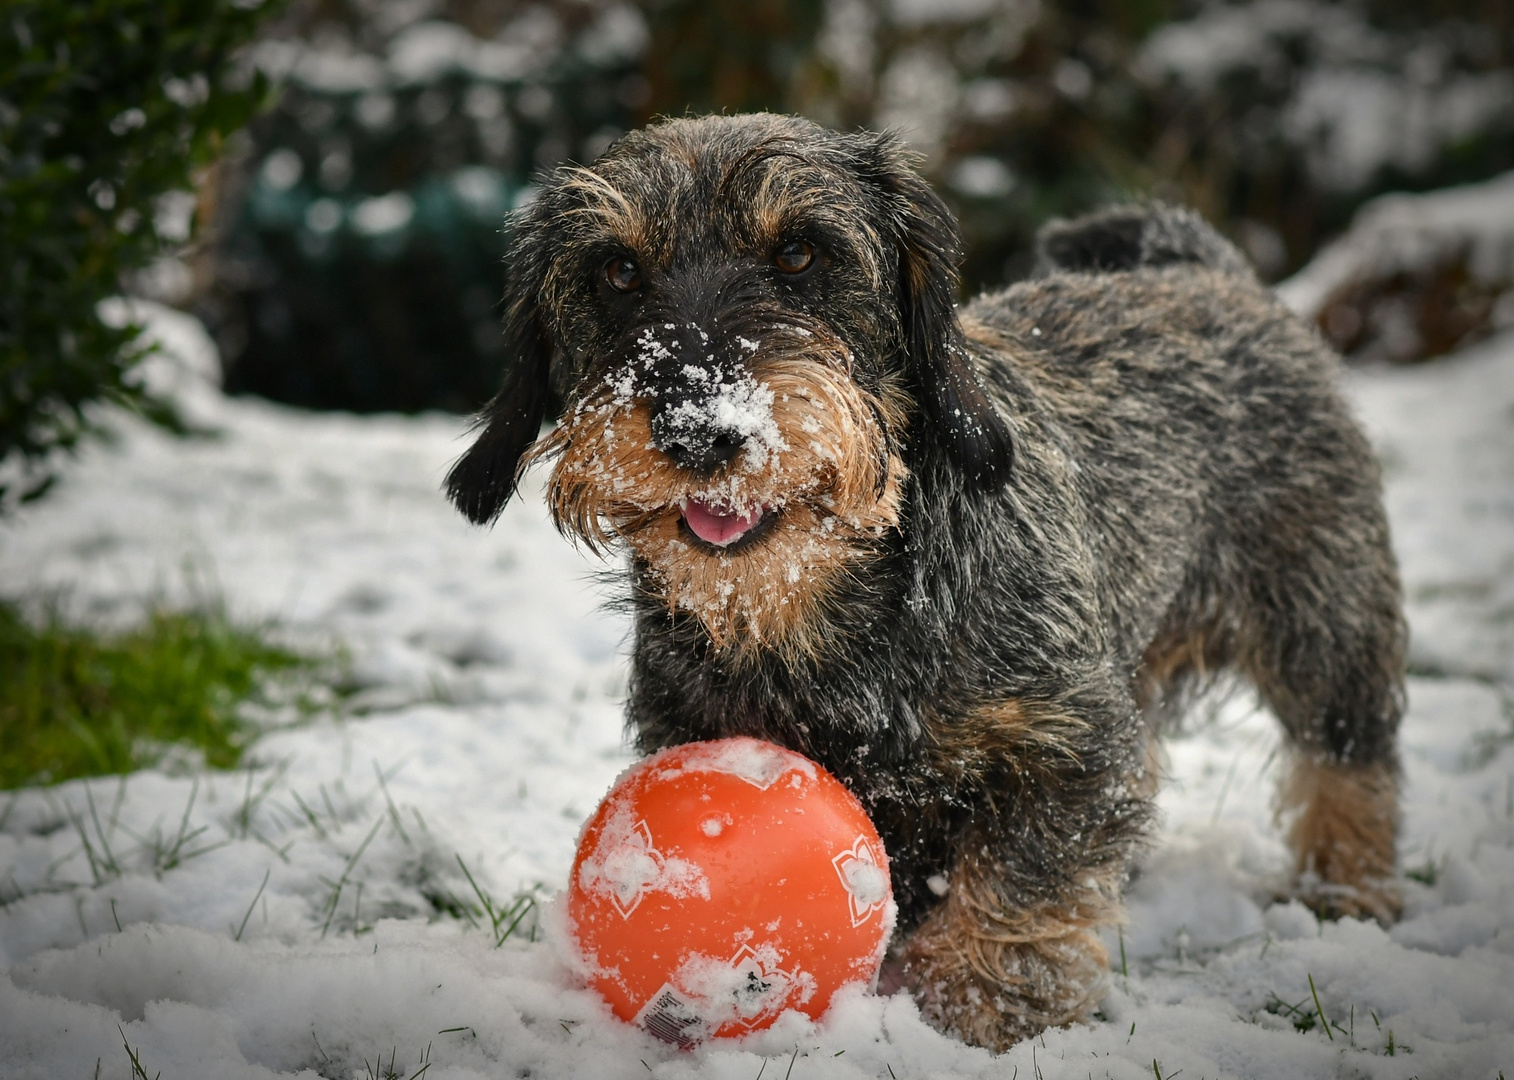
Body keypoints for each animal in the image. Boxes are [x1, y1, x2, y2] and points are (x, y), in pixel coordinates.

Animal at [442, 113, 1404, 1048]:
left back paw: (1346, 895)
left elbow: (1023, 876)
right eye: (616, 270)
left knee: (1349, 759)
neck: (823, 611)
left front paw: (980, 1008)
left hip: (1324, 622)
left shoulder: (1069, 740)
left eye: (800, 253)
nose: (700, 428)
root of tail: (1204, 271)